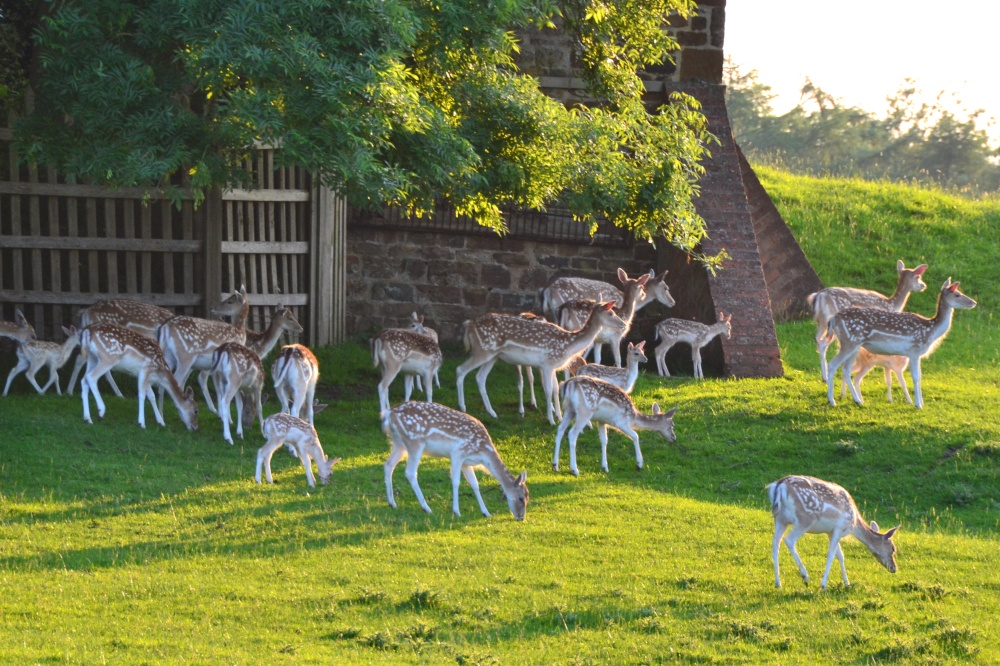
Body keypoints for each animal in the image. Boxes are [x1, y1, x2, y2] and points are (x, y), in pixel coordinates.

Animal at [156, 285, 250, 415]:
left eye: (230, 301)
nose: (212, 308)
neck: (240, 332)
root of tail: (165, 327)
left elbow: (219, 389)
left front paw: (220, 413)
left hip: (168, 356)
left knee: (163, 382)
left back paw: (161, 415)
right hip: (186, 355)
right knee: (176, 382)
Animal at [382, 401, 529, 520]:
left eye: (528, 498)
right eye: (521, 498)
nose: (521, 518)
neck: (483, 452)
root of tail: (388, 414)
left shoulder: (466, 463)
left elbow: (475, 484)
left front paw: (486, 512)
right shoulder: (458, 453)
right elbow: (456, 482)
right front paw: (457, 511)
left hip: (399, 444)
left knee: (388, 464)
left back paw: (392, 503)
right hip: (415, 442)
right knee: (410, 472)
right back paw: (426, 508)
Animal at [456, 301, 626, 425]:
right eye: (611, 313)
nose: (623, 324)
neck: (568, 345)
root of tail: (469, 325)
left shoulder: (553, 366)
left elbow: (556, 388)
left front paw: (559, 416)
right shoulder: (547, 363)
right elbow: (548, 390)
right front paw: (551, 420)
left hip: (493, 356)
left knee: (480, 377)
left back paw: (492, 413)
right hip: (482, 350)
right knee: (460, 369)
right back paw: (463, 407)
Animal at [768, 475, 899, 591]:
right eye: (893, 548)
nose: (894, 568)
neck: (854, 525)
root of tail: (779, 486)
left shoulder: (830, 532)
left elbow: (840, 556)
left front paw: (847, 584)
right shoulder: (839, 528)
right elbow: (831, 555)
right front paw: (823, 585)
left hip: (780, 519)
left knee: (775, 543)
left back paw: (778, 583)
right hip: (805, 518)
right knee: (789, 540)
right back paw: (805, 577)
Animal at [826, 277, 977, 409]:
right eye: (957, 294)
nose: (973, 302)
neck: (930, 331)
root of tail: (833, 318)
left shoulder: (916, 354)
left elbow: (920, 376)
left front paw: (921, 403)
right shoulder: (915, 349)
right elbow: (916, 377)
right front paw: (918, 405)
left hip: (855, 345)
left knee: (845, 368)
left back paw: (857, 400)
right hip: (849, 341)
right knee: (833, 364)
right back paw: (832, 401)